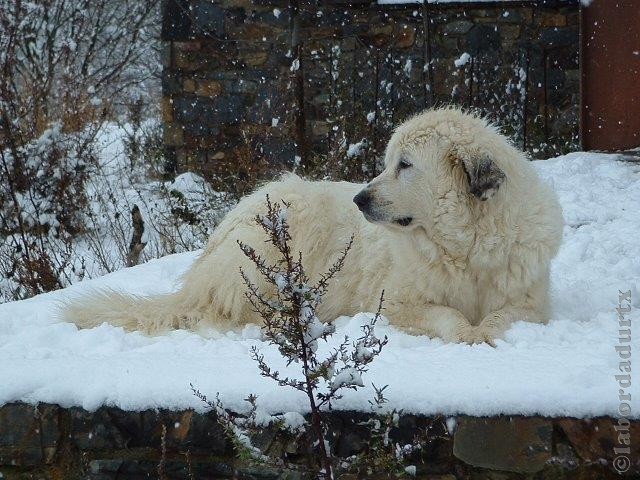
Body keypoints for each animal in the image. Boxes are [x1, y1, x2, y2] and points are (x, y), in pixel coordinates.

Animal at [63, 107, 560, 344]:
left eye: (404, 165)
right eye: (388, 162)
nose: (360, 199)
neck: (465, 245)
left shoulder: (530, 303)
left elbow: (502, 315)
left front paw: (485, 331)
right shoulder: (393, 303)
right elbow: (446, 313)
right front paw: (465, 331)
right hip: (286, 227)